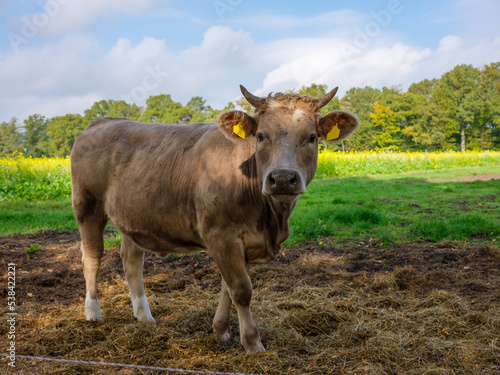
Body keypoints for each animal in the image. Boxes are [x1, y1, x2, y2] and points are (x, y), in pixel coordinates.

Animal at [71, 85, 360, 352]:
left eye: (311, 137)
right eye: (261, 135)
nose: (282, 178)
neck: (270, 219)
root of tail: (103, 121)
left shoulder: (242, 240)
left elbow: (228, 287)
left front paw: (221, 331)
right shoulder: (221, 234)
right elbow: (241, 289)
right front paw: (252, 343)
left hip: (133, 218)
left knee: (131, 260)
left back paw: (144, 316)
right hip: (87, 206)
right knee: (92, 257)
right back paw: (93, 312)